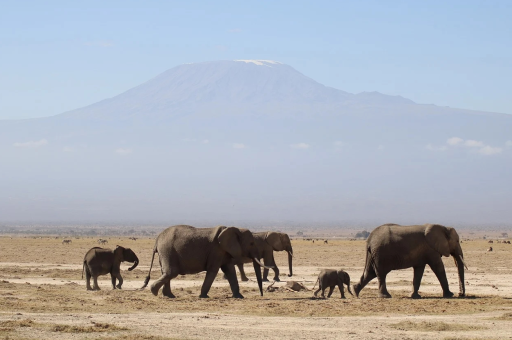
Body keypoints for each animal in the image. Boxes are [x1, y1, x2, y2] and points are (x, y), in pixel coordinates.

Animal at [139, 224, 268, 298]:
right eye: (251, 243)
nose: (261, 295)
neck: (236, 229)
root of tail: (157, 240)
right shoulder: (217, 250)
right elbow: (213, 270)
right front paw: (203, 296)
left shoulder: (224, 251)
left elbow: (230, 270)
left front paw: (239, 297)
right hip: (167, 250)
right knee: (171, 272)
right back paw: (154, 292)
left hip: (165, 252)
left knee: (166, 272)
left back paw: (169, 296)